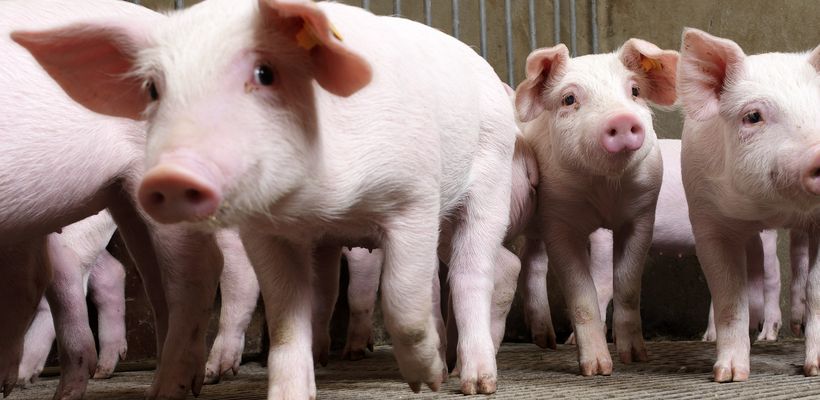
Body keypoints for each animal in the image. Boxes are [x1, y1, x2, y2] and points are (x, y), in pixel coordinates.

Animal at [515, 39, 679, 375]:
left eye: (635, 91)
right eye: (569, 98)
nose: (621, 119)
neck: (605, 190)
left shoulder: (642, 215)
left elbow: (627, 285)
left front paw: (636, 359)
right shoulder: (558, 220)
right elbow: (581, 296)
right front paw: (597, 369)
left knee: (534, 261)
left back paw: (546, 342)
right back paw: (547, 342)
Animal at [678, 28, 820, 381]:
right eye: (753, 116)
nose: (818, 153)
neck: (773, 209)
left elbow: (817, 290)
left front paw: (814, 370)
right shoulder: (707, 220)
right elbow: (730, 297)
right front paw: (728, 376)